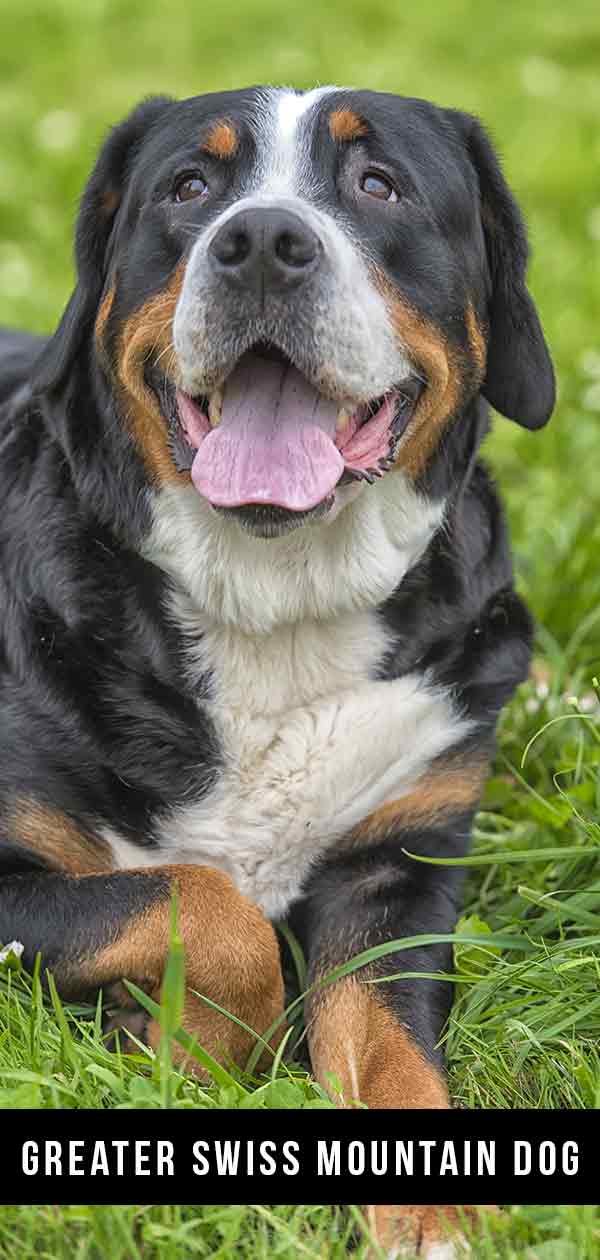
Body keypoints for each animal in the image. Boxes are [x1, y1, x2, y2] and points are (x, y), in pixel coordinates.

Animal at [0, 86, 552, 1249]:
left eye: (378, 185)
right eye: (189, 187)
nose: (258, 241)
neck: (276, 606)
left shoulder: (398, 867)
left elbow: (385, 1043)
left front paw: (435, 1213)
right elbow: (209, 908)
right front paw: (192, 1050)